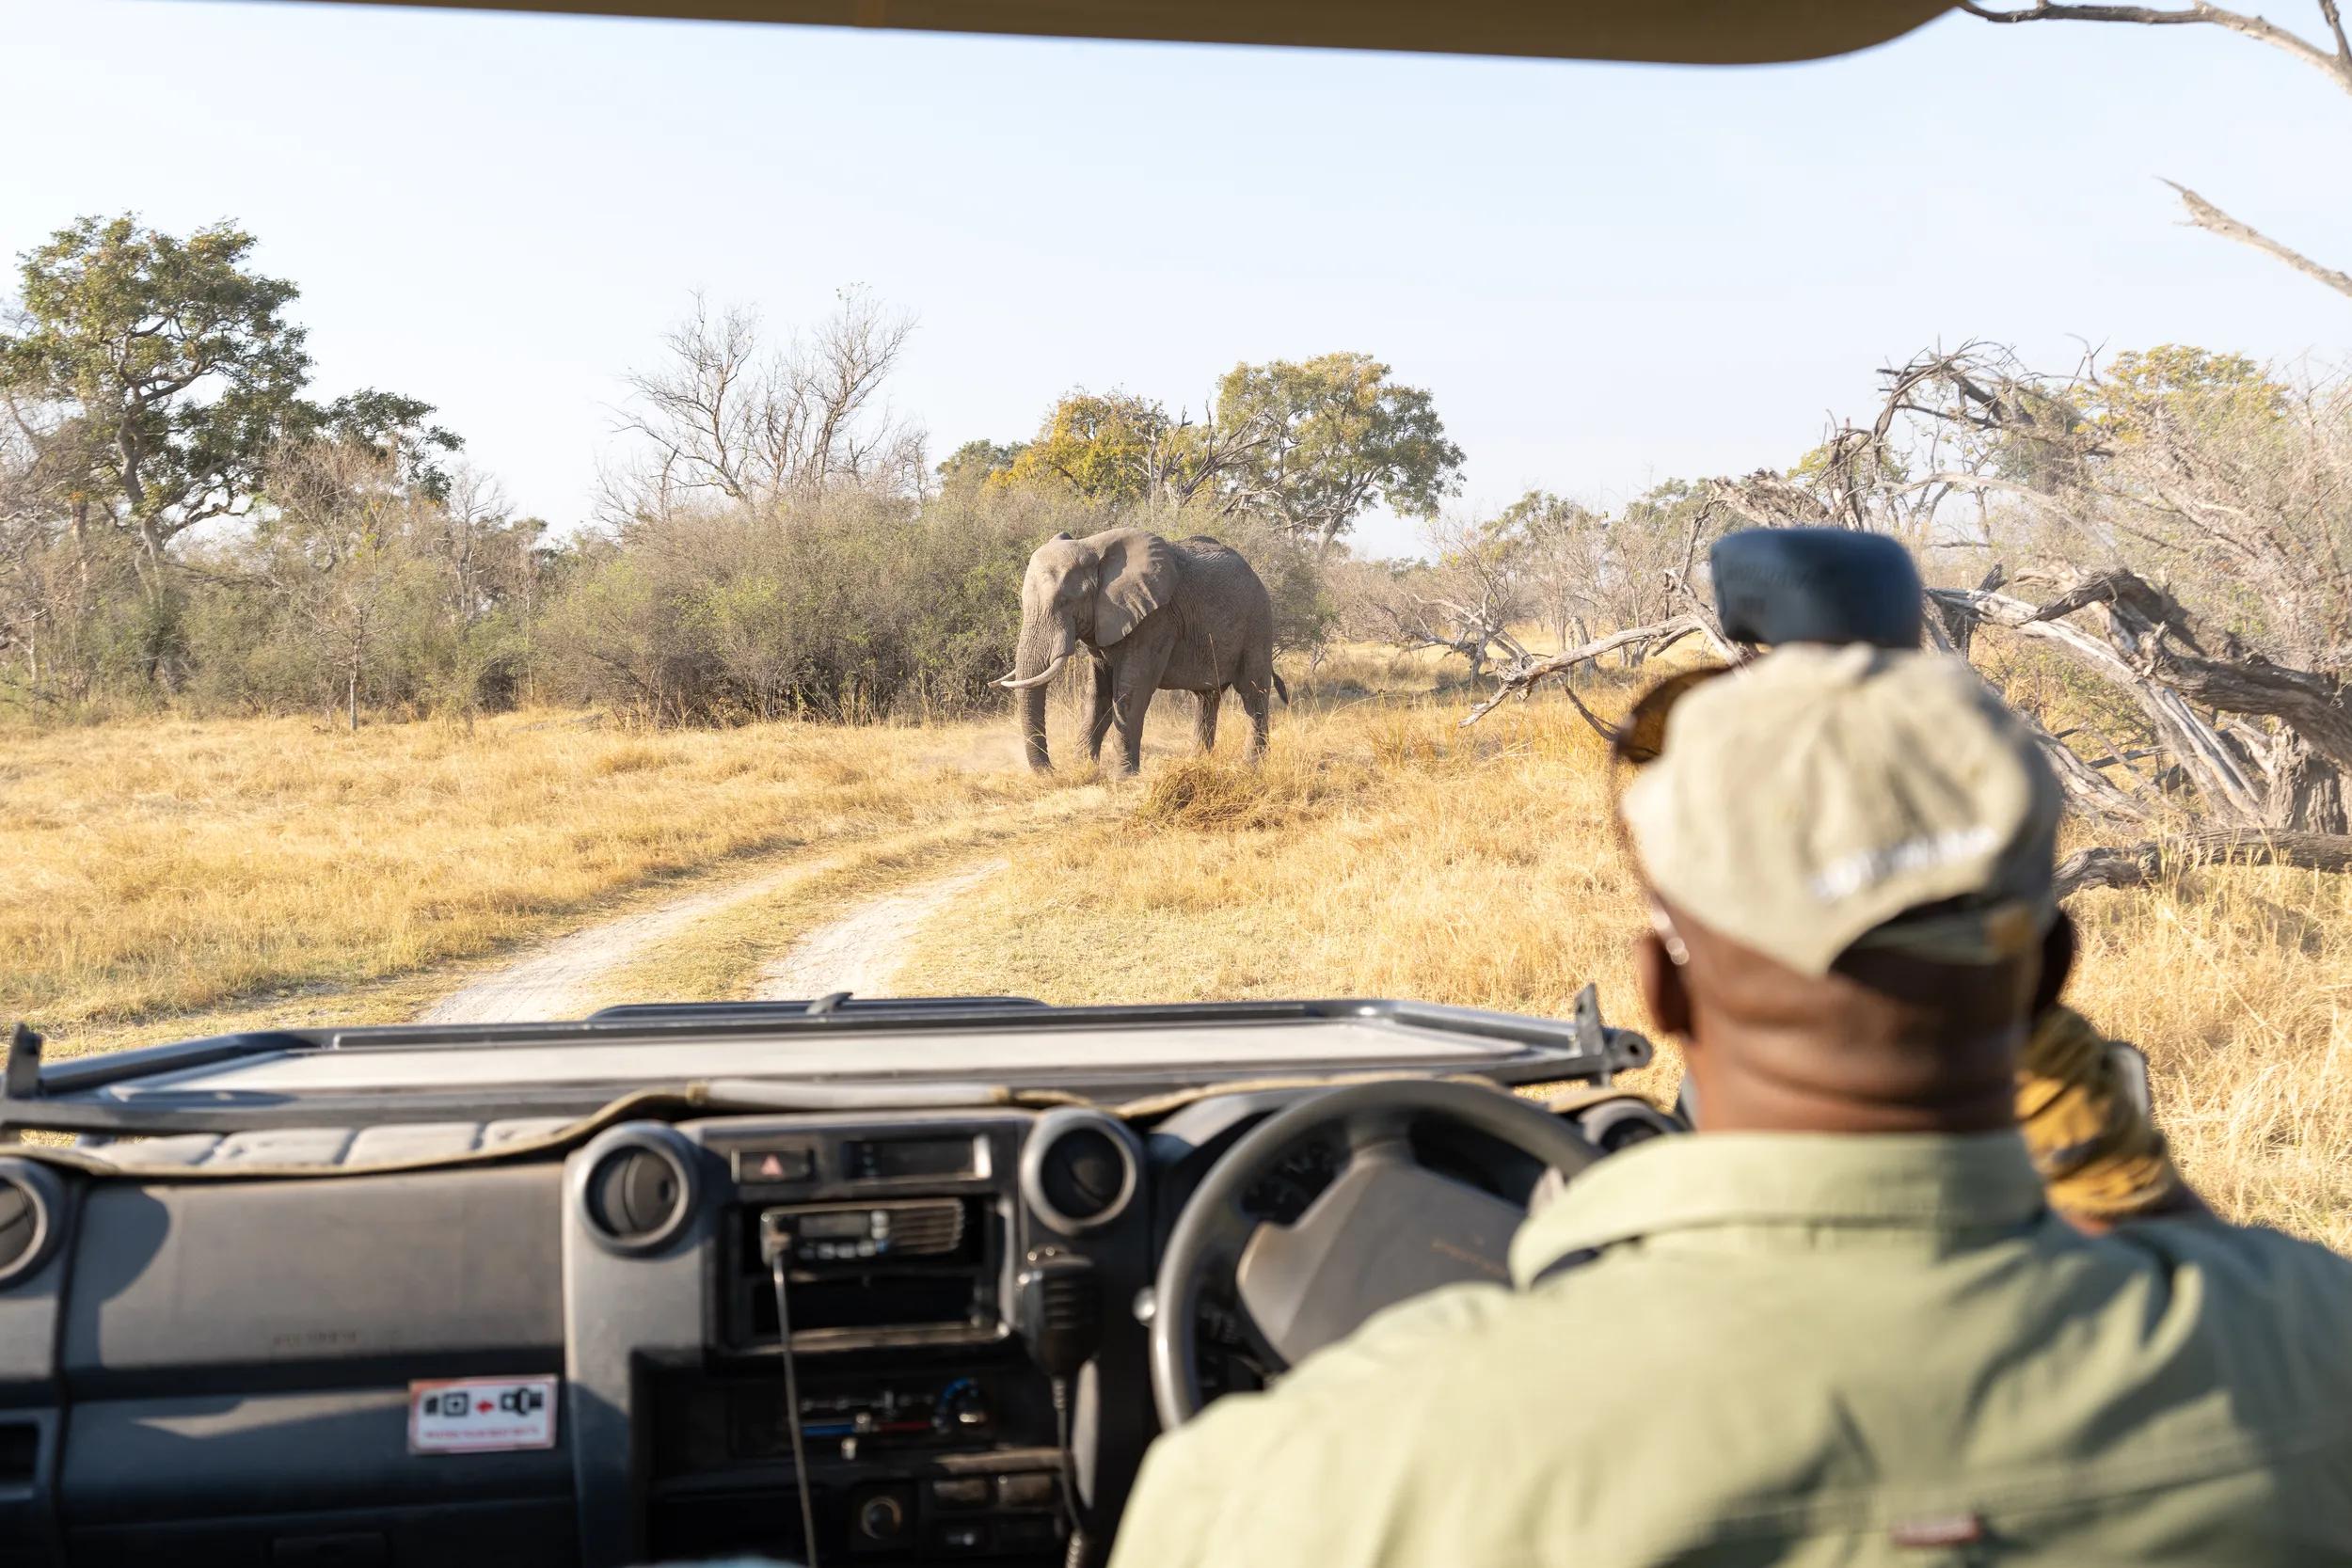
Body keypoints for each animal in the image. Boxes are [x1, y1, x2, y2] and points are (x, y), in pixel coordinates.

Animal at [998, 528, 1289, 775]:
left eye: (1064, 602)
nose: (1052, 770)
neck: (1093, 546)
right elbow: (1098, 694)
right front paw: (1083, 768)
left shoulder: (1156, 620)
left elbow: (1132, 691)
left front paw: (1122, 777)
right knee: (1207, 697)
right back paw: (1197, 761)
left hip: (1258, 624)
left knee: (1253, 694)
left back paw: (1252, 767)